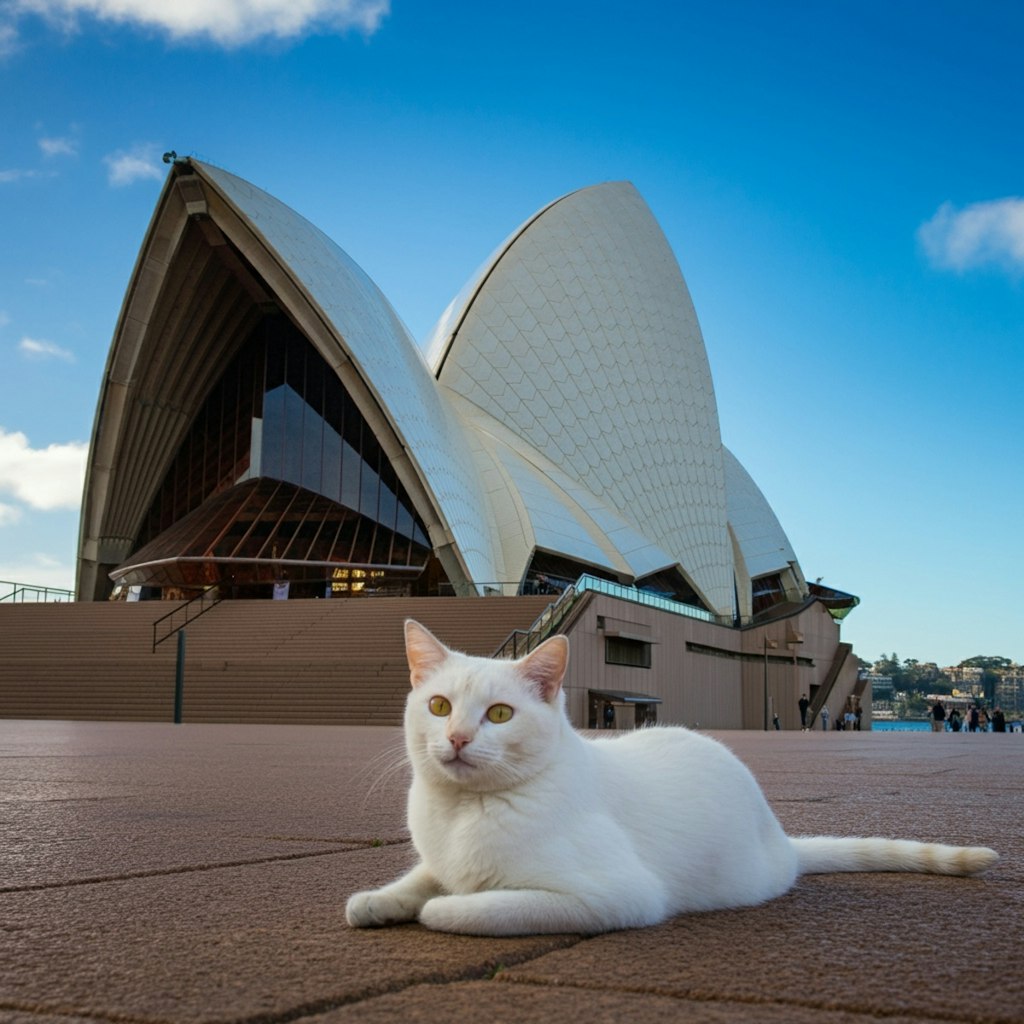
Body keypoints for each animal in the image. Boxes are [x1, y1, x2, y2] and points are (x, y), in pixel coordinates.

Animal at [346, 614, 999, 937]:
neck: (462, 810)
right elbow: (419, 879)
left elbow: (471, 907)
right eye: (438, 706)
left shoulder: (614, 895)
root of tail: (781, 838)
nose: (457, 738)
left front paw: (439, 909)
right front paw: (377, 902)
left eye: (500, 715)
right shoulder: (437, 858)